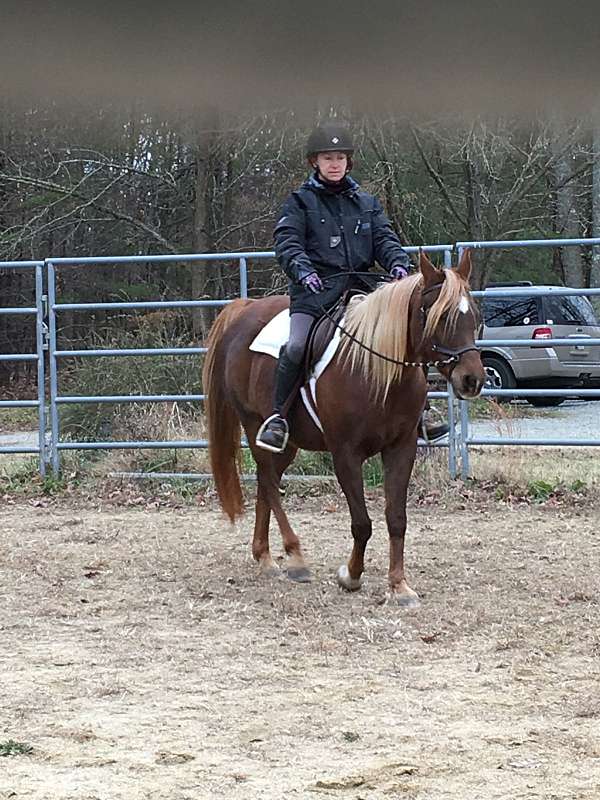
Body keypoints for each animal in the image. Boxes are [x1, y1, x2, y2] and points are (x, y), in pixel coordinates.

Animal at [202, 250, 485, 606]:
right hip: (254, 426)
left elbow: (397, 519)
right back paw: (295, 557)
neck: (375, 370)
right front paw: (351, 575)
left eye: (473, 314)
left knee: (267, 483)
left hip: (290, 443)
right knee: (268, 481)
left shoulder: (401, 448)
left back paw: (264, 556)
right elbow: (362, 523)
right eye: (441, 316)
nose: (472, 379)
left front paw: (399, 585)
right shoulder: (346, 454)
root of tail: (244, 310)